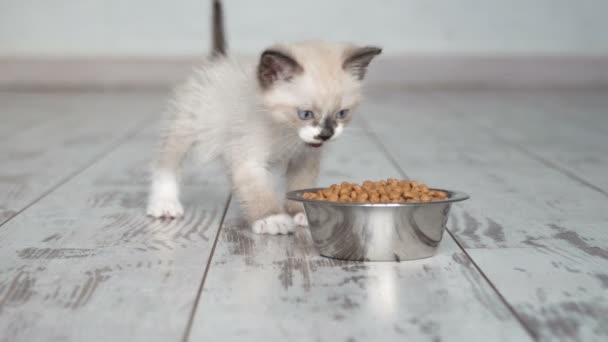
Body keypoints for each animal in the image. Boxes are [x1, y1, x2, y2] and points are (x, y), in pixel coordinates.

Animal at [146, 0, 380, 234]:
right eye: (305, 114)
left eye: (342, 113)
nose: (326, 134)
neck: (284, 131)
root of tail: (219, 61)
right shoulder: (248, 159)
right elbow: (258, 191)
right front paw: (272, 219)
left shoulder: (304, 158)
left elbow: (299, 184)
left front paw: (301, 213)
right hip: (187, 124)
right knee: (167, 162)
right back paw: (164, 204)